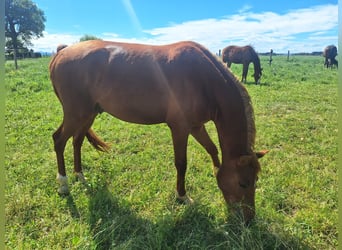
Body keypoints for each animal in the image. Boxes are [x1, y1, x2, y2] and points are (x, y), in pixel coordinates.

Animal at [48, 40, 268, 224]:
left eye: (256, 180)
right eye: (243, 183)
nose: (249, 220)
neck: (203, 79)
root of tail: (62, 52)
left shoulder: (196, 126)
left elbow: (212, 149)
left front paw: (215, 171)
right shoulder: (180, 128)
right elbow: (181, 163)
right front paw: (182, 196)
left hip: (89, 114)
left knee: (77, 140)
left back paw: (80, 175)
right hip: (76, 114)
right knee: (59, 140)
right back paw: (63, 184)